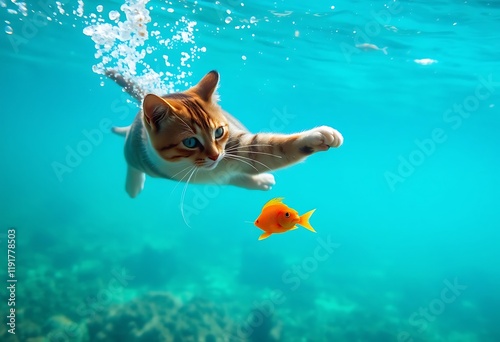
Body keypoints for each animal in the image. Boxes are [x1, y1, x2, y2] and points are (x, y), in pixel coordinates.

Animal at [106, 70, 344, 198]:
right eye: (190, 142)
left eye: (219, 131)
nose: (214, 156)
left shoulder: (237, 147)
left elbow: (272, 148)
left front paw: (318, 136)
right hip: (136, 153)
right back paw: (133, 186)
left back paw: (262, 181)